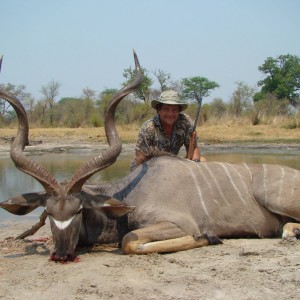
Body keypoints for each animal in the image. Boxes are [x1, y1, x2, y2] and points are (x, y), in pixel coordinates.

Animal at [0, 52, 300, 262]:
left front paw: (208, 237)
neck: (133, 193)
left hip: (275, 198)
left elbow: (129, 241)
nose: (61, 254)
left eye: (79, 210)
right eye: (48, 212)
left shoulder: (178, 223)